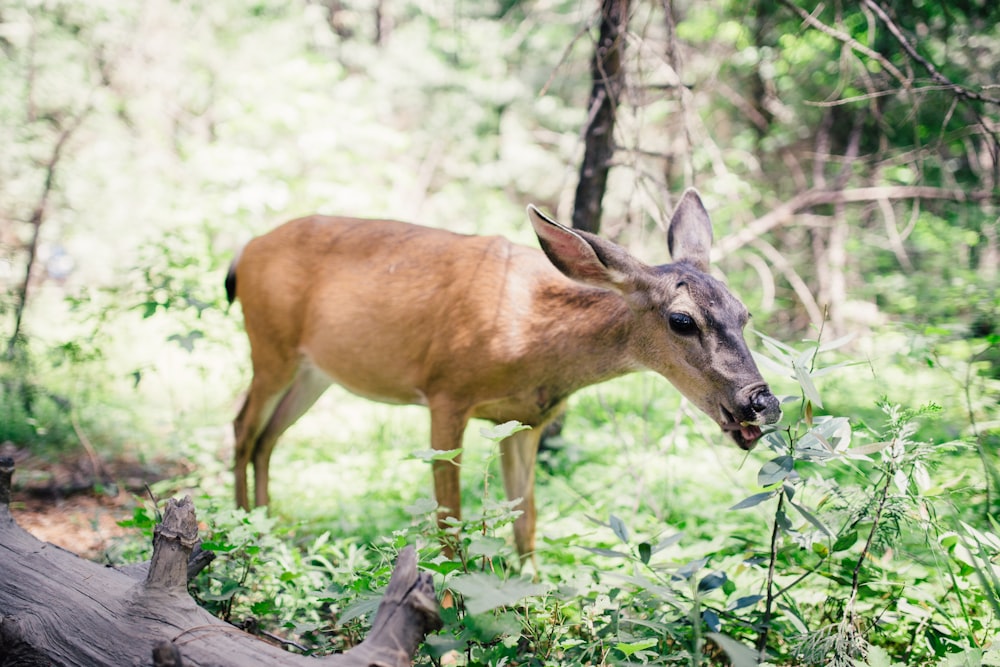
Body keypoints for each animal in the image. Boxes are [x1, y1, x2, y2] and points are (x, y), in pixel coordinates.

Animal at [227, 189, 780, 560]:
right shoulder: (445, 392)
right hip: (269, 347)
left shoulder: (528, 420)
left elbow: (525, 523)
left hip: (314, 371)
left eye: (745, 313)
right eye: (682, 320)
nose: (763, 402)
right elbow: (450, 522)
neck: (531, 336)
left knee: (268, 437)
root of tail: (243, 250)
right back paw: (242, 534)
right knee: (242, 427)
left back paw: (268, 530)